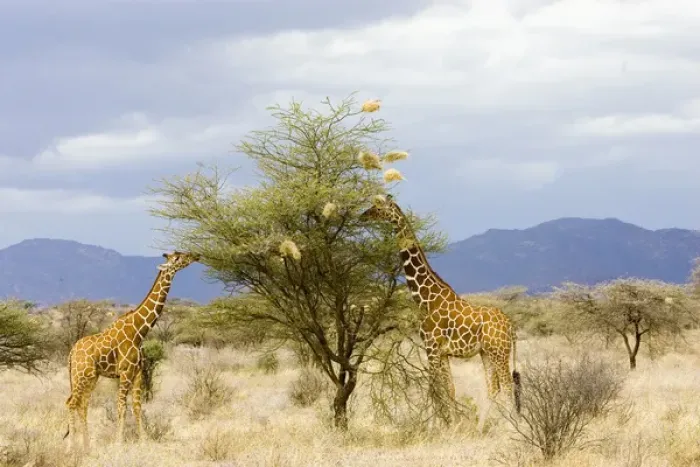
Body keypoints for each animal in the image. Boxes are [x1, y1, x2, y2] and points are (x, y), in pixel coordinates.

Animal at [63, 251, 199, 451]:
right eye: (177, 258)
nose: (196, 255)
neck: (139, 331)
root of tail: (72, 352)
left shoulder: (138, 372)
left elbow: (137, 407)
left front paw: (143, 441)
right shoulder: (126, 372)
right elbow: (122, 407)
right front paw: (119, 442)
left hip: (90, 377)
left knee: (82, 404)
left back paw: (87, 446)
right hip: (80, 375)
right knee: (71, 403)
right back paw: (72, 446)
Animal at [360, 195, 521, 432]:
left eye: (378, 207)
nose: (363, 216)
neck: (426, 298)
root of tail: (511, 326)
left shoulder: (431, 348)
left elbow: (434, 389)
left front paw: (433, 427)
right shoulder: (442, 353)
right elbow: (449, 389)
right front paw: (452, 425)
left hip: (500, 351)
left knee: (508, 386)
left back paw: (511, 428)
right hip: (487, 352)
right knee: (494, 388)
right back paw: (480, 428)